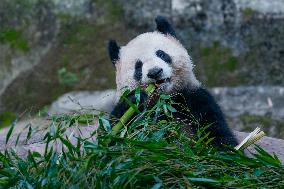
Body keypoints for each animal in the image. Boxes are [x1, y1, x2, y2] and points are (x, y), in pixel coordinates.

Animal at [106, 15, 237, 149]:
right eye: (138, 67)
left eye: (161, 54)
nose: (155, 72)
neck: (165, 101)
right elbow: (114, 137)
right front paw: (135, 100)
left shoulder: (193, 97)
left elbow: (216, 133)